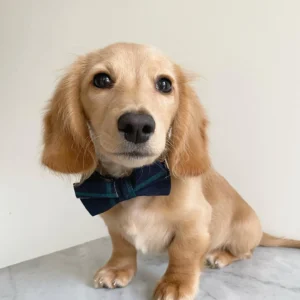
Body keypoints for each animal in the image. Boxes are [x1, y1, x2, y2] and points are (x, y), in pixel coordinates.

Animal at [41, 42, 300, 300]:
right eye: (101, 80)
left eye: (165, 84)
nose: (137, 125)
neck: (134, 184)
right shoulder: (114, 224)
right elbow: (122, 245)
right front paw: (118, 269)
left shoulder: (195, 223)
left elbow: (182, 254)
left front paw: (176, 284)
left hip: (241, 236)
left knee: (246, 253)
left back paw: (219, 255)